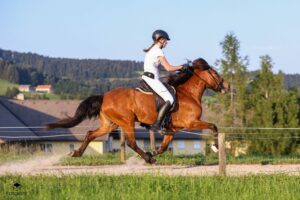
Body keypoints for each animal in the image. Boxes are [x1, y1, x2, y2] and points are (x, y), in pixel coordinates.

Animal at [46, 57, 230, 163]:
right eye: (214, 73)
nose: (226, 86)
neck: (188, 94)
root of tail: (104, 96)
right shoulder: (191, 123)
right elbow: (213, 126)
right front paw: (215, 147)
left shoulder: (172, 129)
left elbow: (164, 147)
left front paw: (153, 152)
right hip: (127, 121)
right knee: (131, 142)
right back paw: (147, 158)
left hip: (110, 124)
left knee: (90, 134)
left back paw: (76, 153)